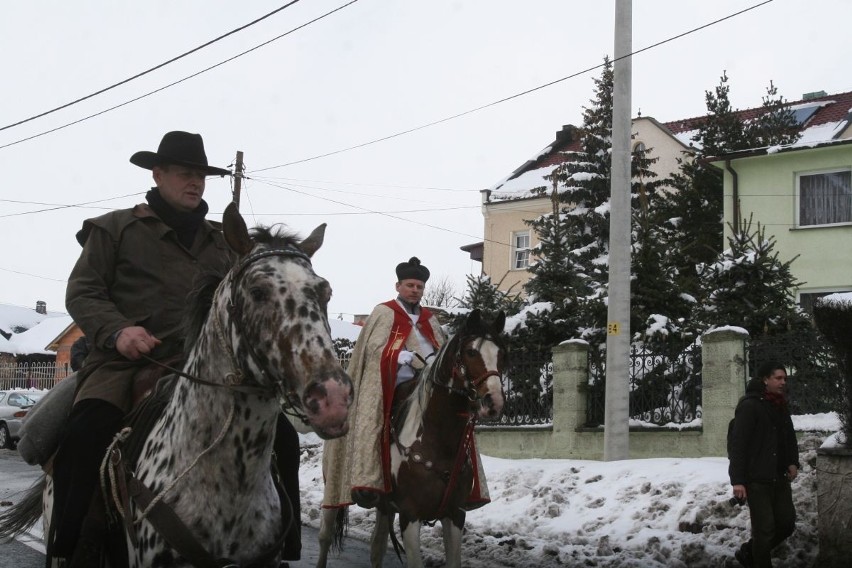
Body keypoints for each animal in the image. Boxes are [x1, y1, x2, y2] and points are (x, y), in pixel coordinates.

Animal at [318, 308, 506, 568]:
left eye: (502, 354)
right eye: (471, 352)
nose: (493, 402)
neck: (439, 442)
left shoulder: (455, 514)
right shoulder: (410, 515)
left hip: (385, 506)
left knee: (377, 547)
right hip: (333, 487)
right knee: (325, 536)